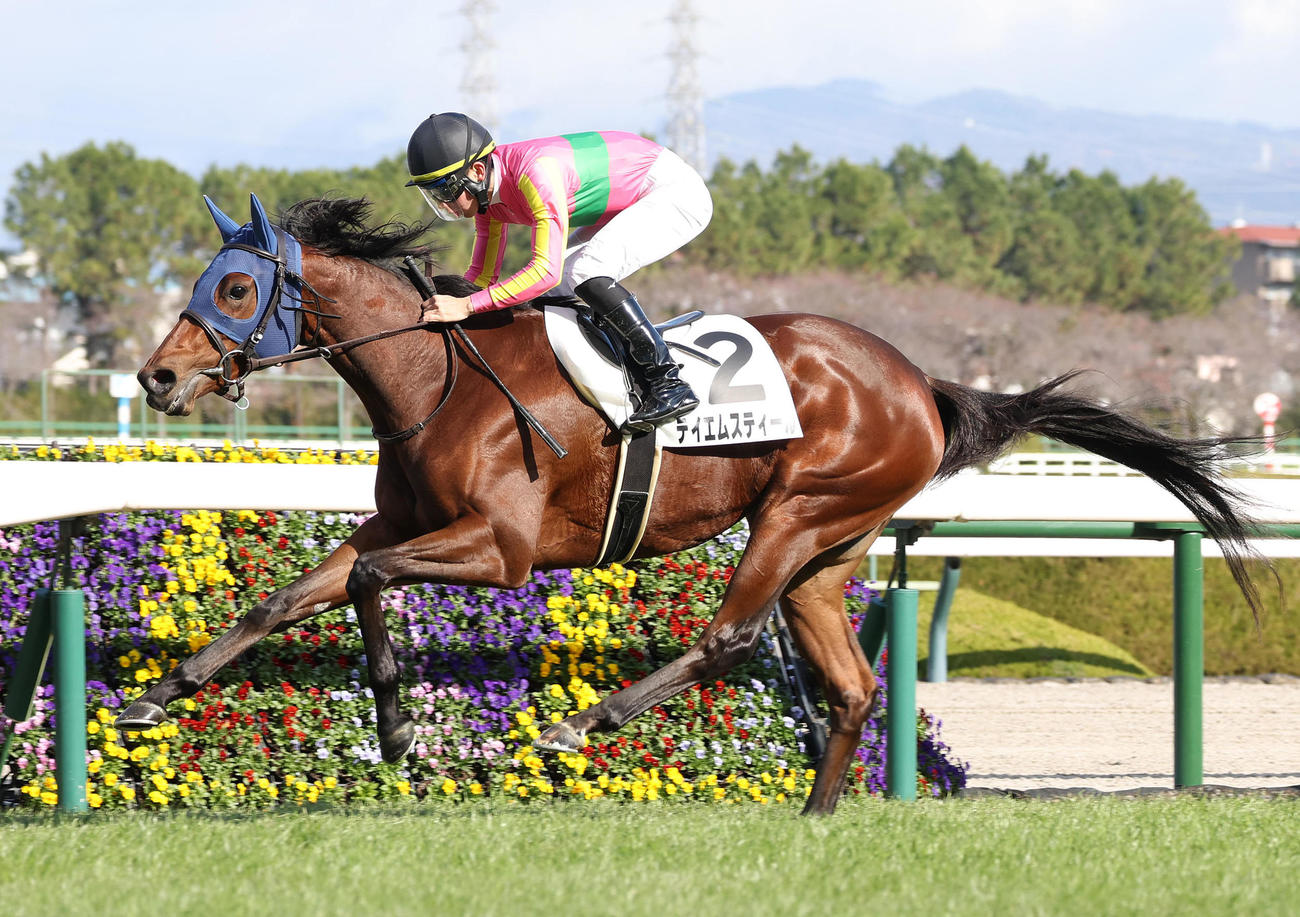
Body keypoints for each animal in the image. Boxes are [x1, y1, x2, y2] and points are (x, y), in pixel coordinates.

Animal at [120, 194, 1266, 815]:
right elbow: (291, 594)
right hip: (828, 552)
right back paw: (812, 816)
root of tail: (920, 382)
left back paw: (581, 722)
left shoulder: (499, 548)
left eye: (233, 289)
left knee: (728, 635)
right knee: (848, 684)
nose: (157, 379)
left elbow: (361, 578)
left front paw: (399, 722)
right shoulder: (404, 522)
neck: (433, 377)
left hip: (798, 512)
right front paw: (154, 693)